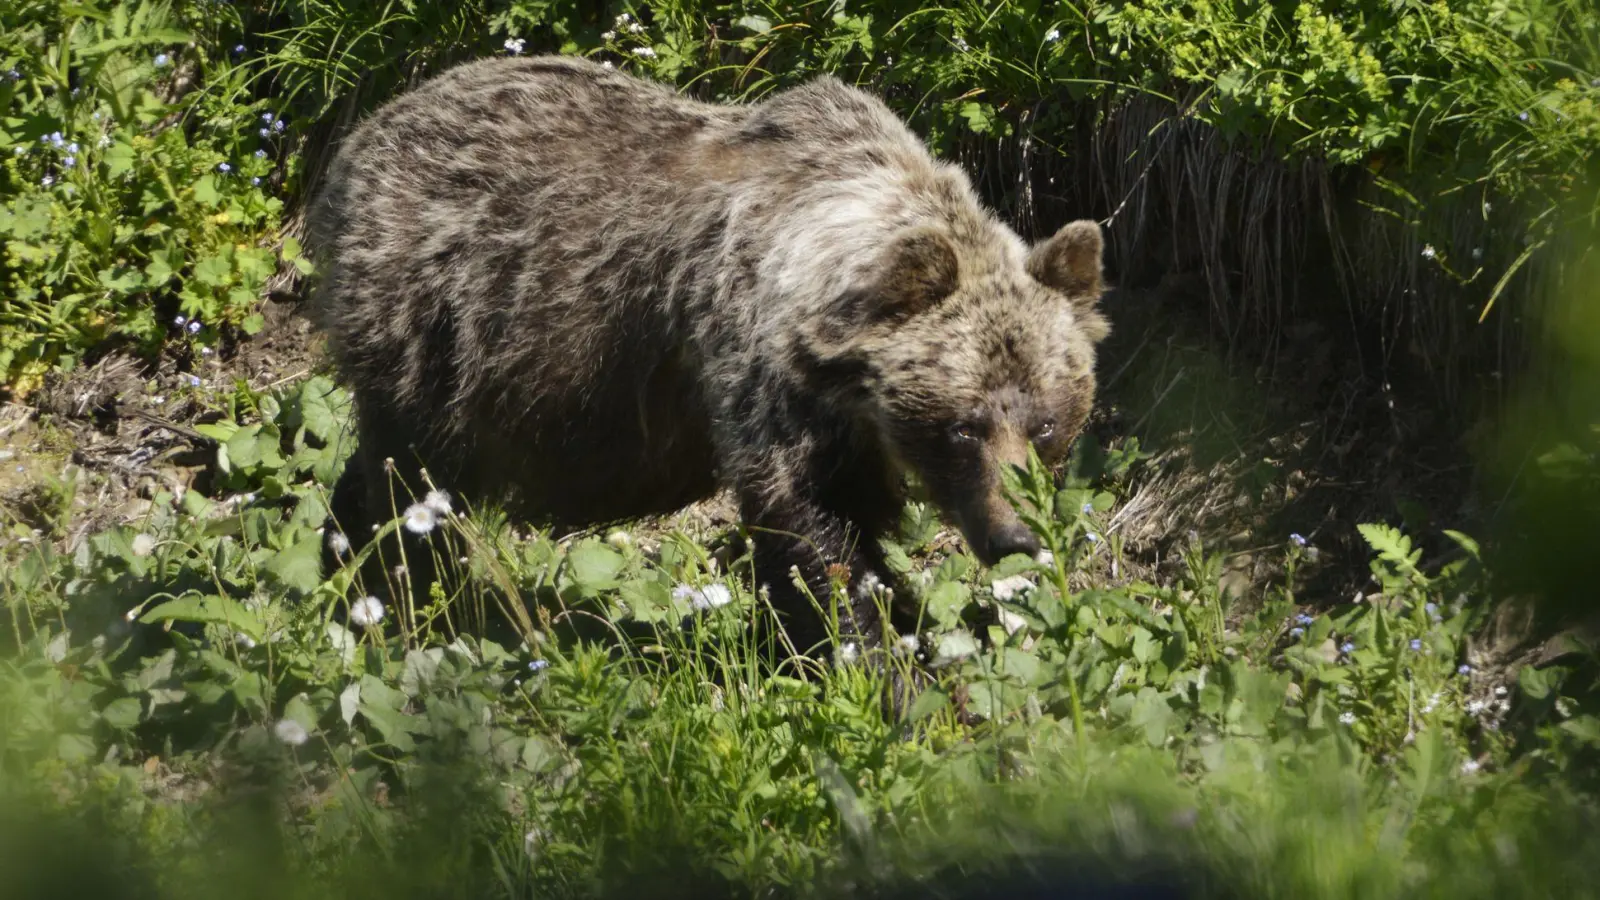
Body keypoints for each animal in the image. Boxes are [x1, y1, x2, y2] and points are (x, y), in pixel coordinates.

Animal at [305, 56, 1113, 656]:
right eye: (962, 426)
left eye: (1046, 423)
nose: (1016, 537)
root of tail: (362, 134)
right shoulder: (758, 367)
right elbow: (815, 532)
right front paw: (881, 660)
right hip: (437, 326)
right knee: (410, 482)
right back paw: (397, 597)